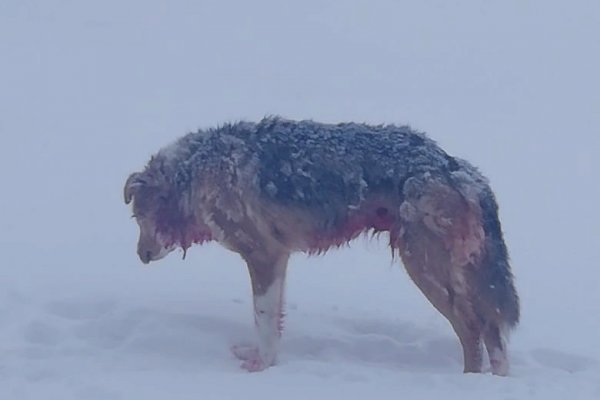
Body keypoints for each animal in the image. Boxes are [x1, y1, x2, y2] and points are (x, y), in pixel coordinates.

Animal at [124, 115, 516, 376]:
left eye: (141, 216)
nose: (141, 257)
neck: (196, 171)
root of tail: (455, 166)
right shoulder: (278, 260)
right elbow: (273, 323)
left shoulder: (264, 256)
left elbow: (263, 319)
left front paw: (260, 368)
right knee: (490, 330)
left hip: (424, 268)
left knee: (474, 329)